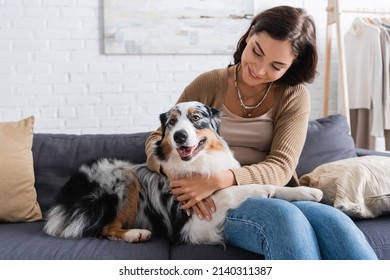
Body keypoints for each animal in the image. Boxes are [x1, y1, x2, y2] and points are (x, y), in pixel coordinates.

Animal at [43, 101, 322, 245]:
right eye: (171, 123)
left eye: (196, 117)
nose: (179, 136)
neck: (200, 162)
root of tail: (67, 194)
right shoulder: (195, 223)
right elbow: (230, 191)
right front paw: (262, 188)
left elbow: (274, 187)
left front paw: (306, 190)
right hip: (121, 173)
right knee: (102, 228)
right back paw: (136, 233)